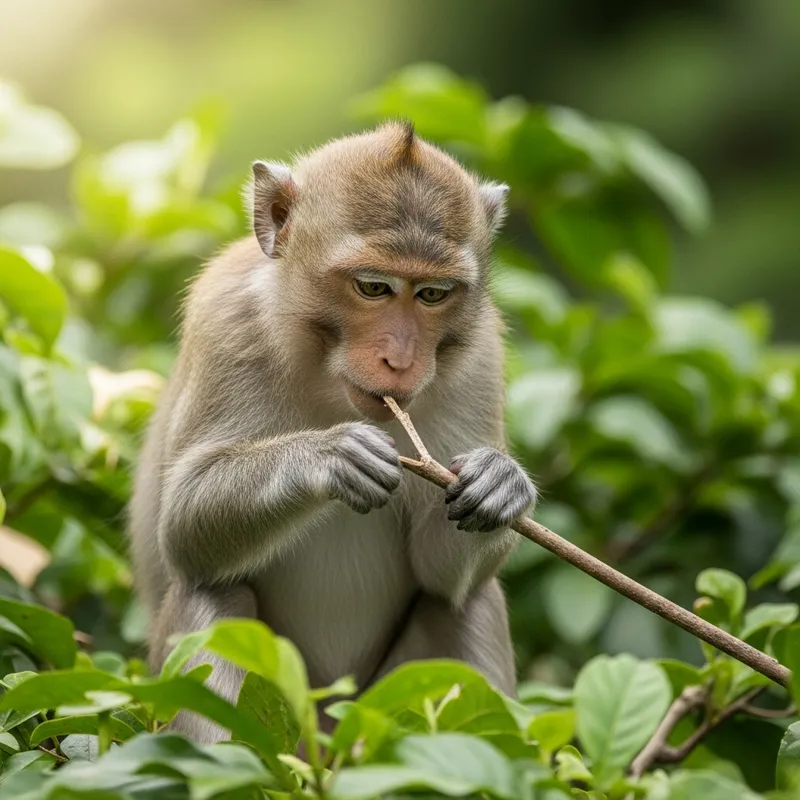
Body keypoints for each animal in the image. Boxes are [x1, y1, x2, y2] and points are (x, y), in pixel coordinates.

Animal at [128, 121, 537, 744]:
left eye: (432, 294)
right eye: (372, 287)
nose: (401, 360)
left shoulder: (480, 357)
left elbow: (444, 578)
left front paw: (500, 482)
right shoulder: (226, 321)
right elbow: (182, 528)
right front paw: (328, 458)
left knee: (467, 602)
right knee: (211, 594)